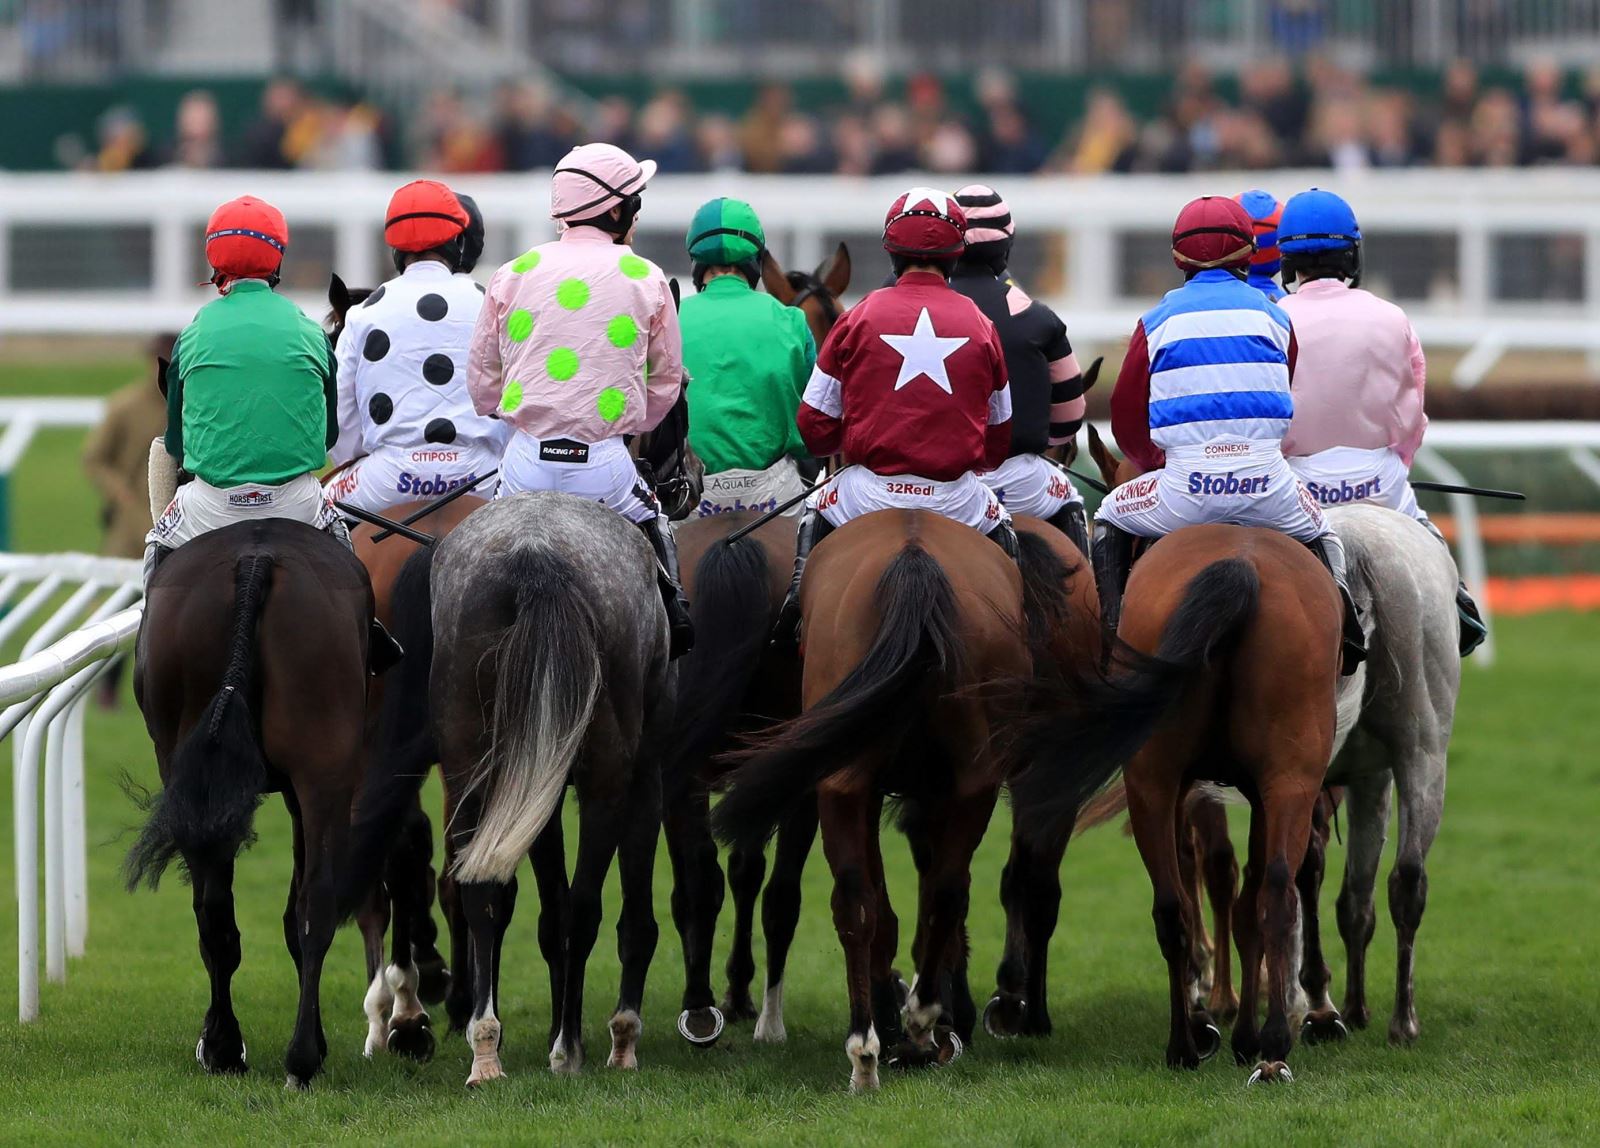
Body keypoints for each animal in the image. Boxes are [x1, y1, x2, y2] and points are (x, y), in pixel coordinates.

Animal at [127, 521, 371, 1087]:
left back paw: (231, 1048)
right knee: (309, 903)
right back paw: (297, 1057)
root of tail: (255, 559)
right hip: (321, 771)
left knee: (220, 911)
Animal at [716, 514, 1036, 1100]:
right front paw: (922, 1016)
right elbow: (914, 900)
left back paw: (869, 1046)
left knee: (859, 903)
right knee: (939, 892)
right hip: (967, 781)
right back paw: (913, 1022)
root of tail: (915, 564)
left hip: (845, 781)